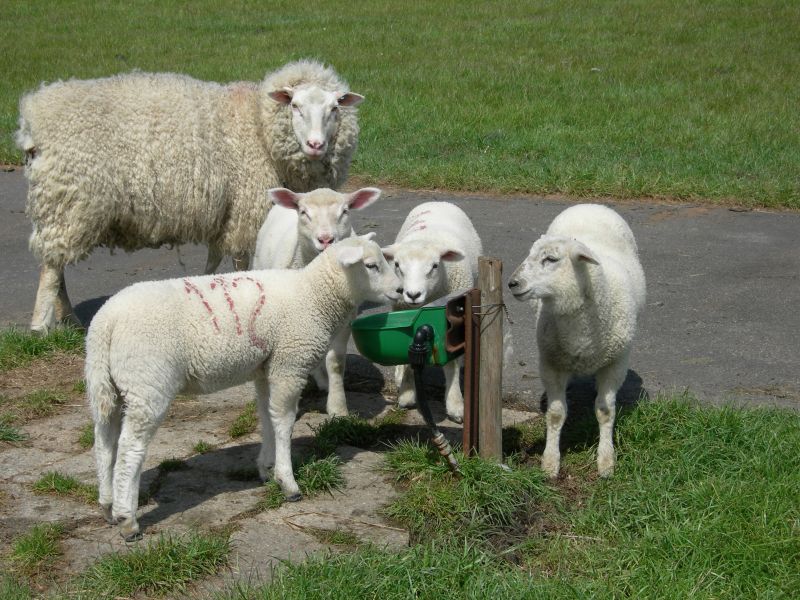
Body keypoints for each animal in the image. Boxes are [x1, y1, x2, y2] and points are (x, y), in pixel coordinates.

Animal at [14, 58, 362, 332]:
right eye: (295, 106)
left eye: (334, 109)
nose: (316, 145)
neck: (257, 125)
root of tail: (33, 119)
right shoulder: (245, 209)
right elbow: (239, 260)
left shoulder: (226, 212)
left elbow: (214, 257)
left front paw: (204, 284)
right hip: (70, 202)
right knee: (51, 267)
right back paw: (41, 326)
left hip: (60, 204)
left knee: (55, 263)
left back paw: (68, 318)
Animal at [84, 234, 404, 540]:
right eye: (371, 266)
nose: (401, 290)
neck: (314, 295)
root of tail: (106, 322)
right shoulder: (290, 363)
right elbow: (284, 422)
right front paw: (287, 481)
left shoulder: (266, 368)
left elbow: (266, 417)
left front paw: (267, 467)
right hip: (148, 382)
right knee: (130, 449)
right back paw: (127, 520)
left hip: (107, 383)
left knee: (104, 442)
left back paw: (107, 505)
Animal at [253, 188, 384, 418]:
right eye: (304, 212)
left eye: (345, 211)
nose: (326, 239)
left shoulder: (345, 322)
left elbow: (336, 362)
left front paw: (338, 407)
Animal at [380, 202, 482, 422]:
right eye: (397, 265)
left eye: (435, 265)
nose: (412, 294)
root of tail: (438, 202)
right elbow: (404, 352)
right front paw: (407, 392)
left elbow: (451, 365)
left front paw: (456, 405)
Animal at [510, 205, 648, 478]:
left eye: (551, 259)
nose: (512, 283)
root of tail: (591, 205)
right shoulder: (551, 363)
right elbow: (555, 414)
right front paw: (550, 462)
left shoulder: (616, 364)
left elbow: (605, 411)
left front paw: (606, 461)